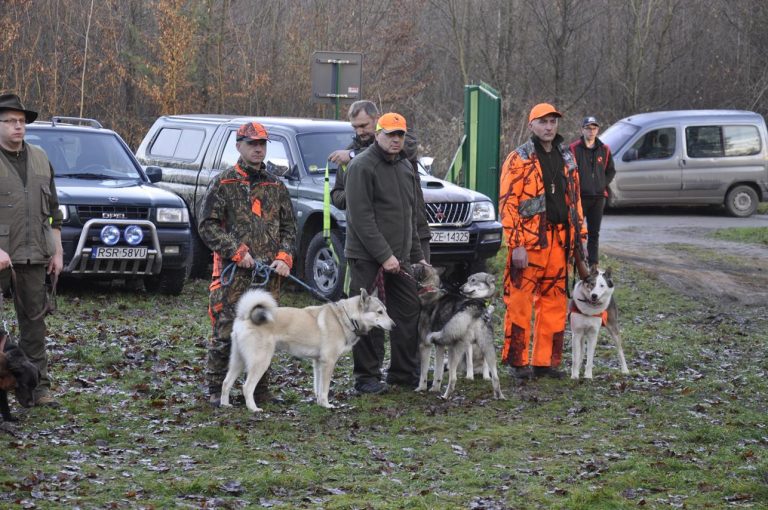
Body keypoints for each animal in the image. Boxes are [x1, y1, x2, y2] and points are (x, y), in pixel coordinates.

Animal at [219, 288, 392, 412]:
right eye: (379, 312)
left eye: (386, 310)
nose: (394, 325)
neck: (347, 317)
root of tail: (245, 316)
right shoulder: (328, 362)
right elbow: (325, 388)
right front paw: (327, 405)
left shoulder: (318, 362)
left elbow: (318, 387)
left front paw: (320, 403)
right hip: (260, 362)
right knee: (247, 387)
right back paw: (253, 409)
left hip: (238, 362)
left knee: (226, 383)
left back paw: (225, 405)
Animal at [414, 264, 504, 400]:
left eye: (412, 266)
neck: (430, 290)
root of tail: (474, 307)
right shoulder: (440, 346)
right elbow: (438, 372)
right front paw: (435, 388)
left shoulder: (425, 345)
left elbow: (423, 373)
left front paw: (421, 388)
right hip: (488, 348)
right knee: (496, 377)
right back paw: (499, 396)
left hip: (455, 350)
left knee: (453, 379)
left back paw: (445, 396)